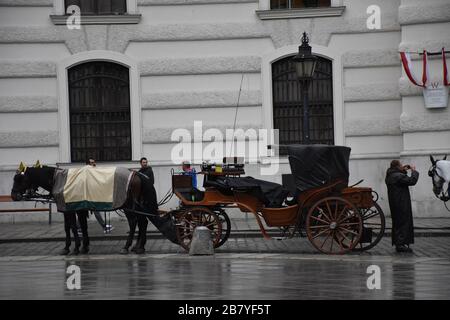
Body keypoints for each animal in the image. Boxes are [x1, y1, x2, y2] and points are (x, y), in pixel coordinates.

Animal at [10, 166, 160, 256]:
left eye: (20, 179)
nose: (13, 195)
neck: (59, 180)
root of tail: (136, 174)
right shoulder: (79, 208)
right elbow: (82, 226)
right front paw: (83, 246)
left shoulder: (69, 208)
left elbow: (70, 227)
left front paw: (73, 247)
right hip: (138, 204)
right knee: (142, 221)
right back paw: (139, 246)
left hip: (128, 205)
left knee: (134, 222)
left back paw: (127, 246)